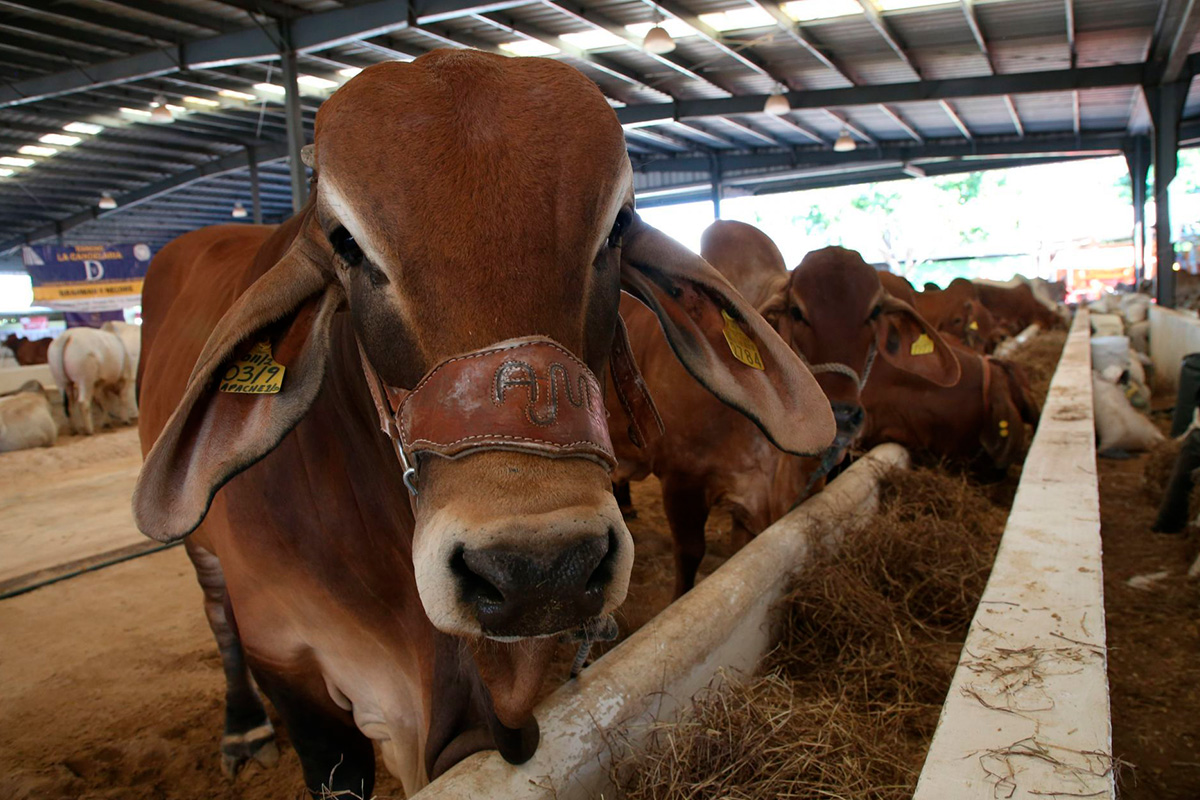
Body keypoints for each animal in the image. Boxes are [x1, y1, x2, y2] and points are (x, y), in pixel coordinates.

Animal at [131, 53, 835, 796]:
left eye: (616, 227)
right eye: (345, 243)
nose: (539, 570)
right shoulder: (291, 664)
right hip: (204, 557)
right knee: (217, 614)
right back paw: (242, 728)